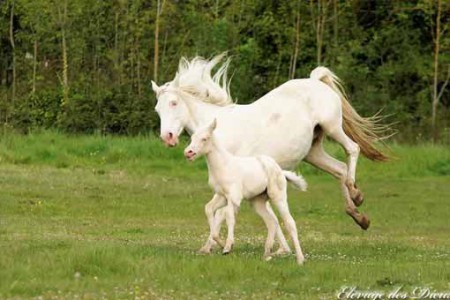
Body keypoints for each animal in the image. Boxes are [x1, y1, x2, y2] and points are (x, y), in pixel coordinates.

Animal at [185, 118, 308, 264]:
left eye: (205, 138)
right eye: (192, 137)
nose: (188, 152)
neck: (223, 165)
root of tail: (280, 170)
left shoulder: (234, 197)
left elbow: (229, 217)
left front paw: (228, 247)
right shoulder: (221, 196)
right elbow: (209, 210)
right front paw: (220, 244)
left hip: (278, 197)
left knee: (289, 222)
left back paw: (300, 259)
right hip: (257, 202)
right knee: (272, 222)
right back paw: (267, 254)